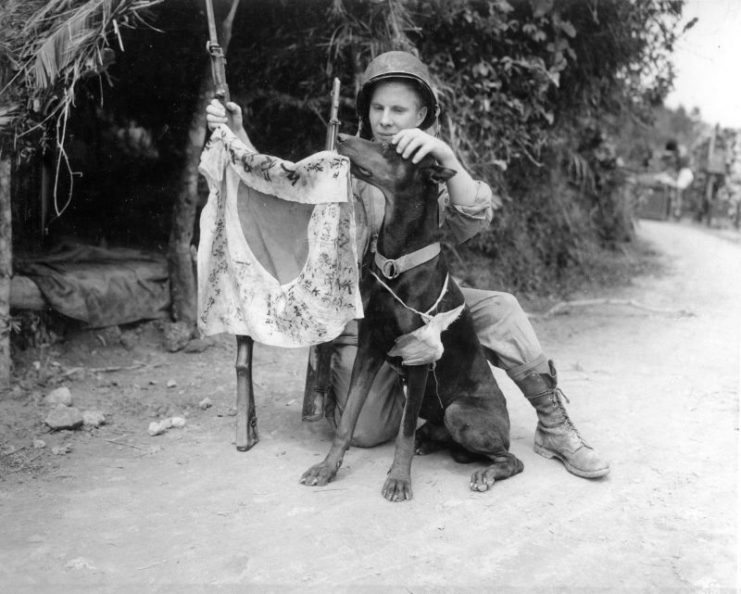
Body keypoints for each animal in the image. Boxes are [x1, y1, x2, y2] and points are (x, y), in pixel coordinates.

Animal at [298, 134, 524, 500]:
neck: (398, 261)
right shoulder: (370, 347)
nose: (342, 137)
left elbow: (403, 432)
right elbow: (349, 420)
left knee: (510, 458)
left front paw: (399, 479)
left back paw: (485, 473)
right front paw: (327, 468)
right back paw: (429, 443)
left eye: (391, 149)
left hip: (460, 411)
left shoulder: (419, 357)